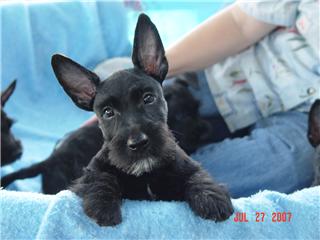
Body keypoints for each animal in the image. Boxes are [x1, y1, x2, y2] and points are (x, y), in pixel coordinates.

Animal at [52, 13, 232, 227]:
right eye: (107, 112)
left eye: (148, 98)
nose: (138, 143)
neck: (146, 173)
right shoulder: (90, 173)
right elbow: (99, 177)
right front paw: (102, 206)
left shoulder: (185, 165)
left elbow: (197, 176)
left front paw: (212, 199)